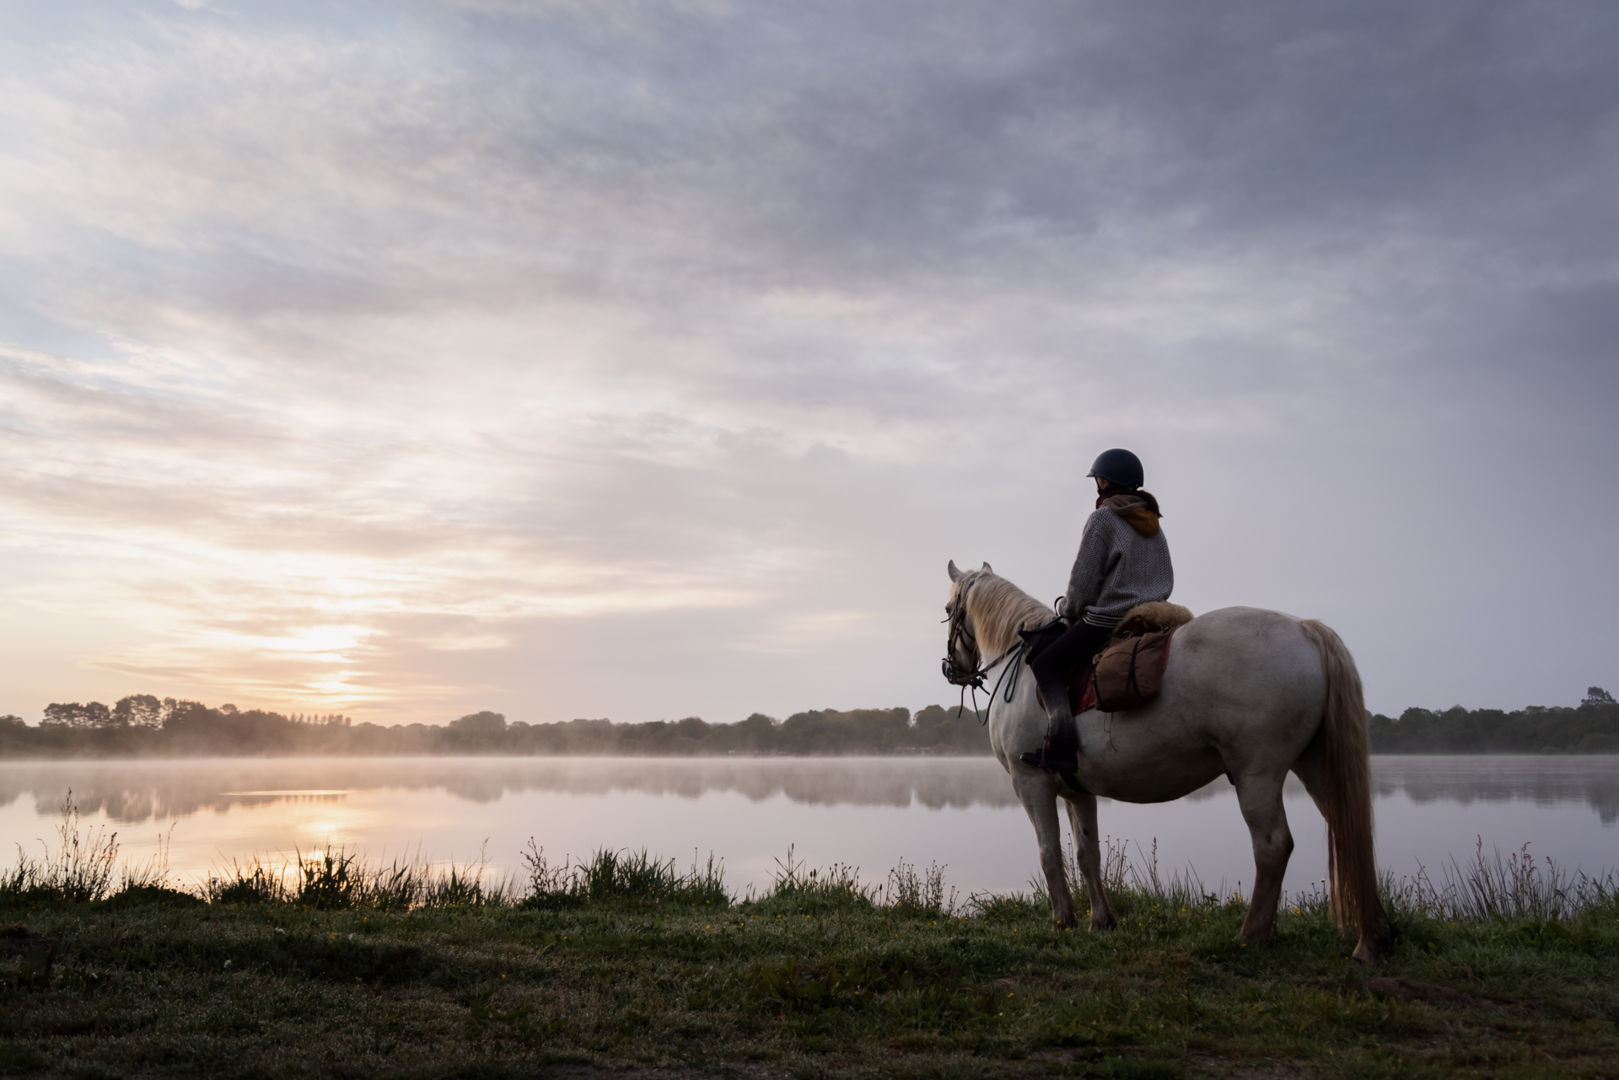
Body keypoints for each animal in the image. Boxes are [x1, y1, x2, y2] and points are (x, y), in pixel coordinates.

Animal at [945, 563, 1392, 958]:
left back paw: (1252, 934)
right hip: (1314, 764)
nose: (950, 669)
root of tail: (1304, 630)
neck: (1021, 670)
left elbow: (1049, 852)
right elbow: (1087, 854)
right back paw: (1371, 939)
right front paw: (1101, 920)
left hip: (1258, 774)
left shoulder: (1030, 783)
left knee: (1273, 846)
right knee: (1349, 830)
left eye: (949, 609)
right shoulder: (1077, 792)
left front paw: (1062, 921)